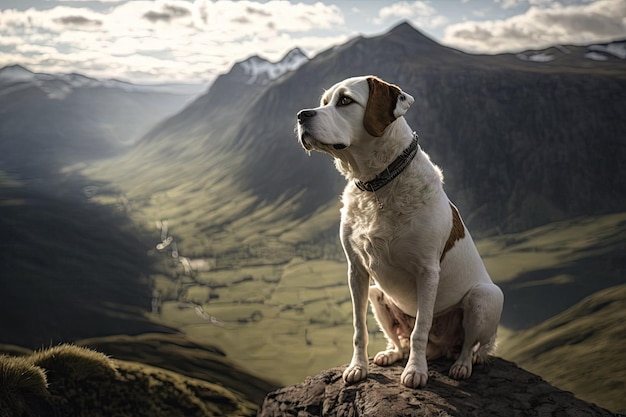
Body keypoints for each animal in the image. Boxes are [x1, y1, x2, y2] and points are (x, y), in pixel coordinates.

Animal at [294, 75, 504, 386]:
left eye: (345, 100)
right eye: (324, 102)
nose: (301, 115)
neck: (378, 184)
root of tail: (441, 348)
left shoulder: (427, 272)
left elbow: (421, 328)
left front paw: (416, 371)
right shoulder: (356, 270)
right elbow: (358, 328)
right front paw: (358, 367)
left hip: (485, 297)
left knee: (468, 345)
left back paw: (461, 365)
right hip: (377, 295)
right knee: (399, 339)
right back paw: (391, 354)